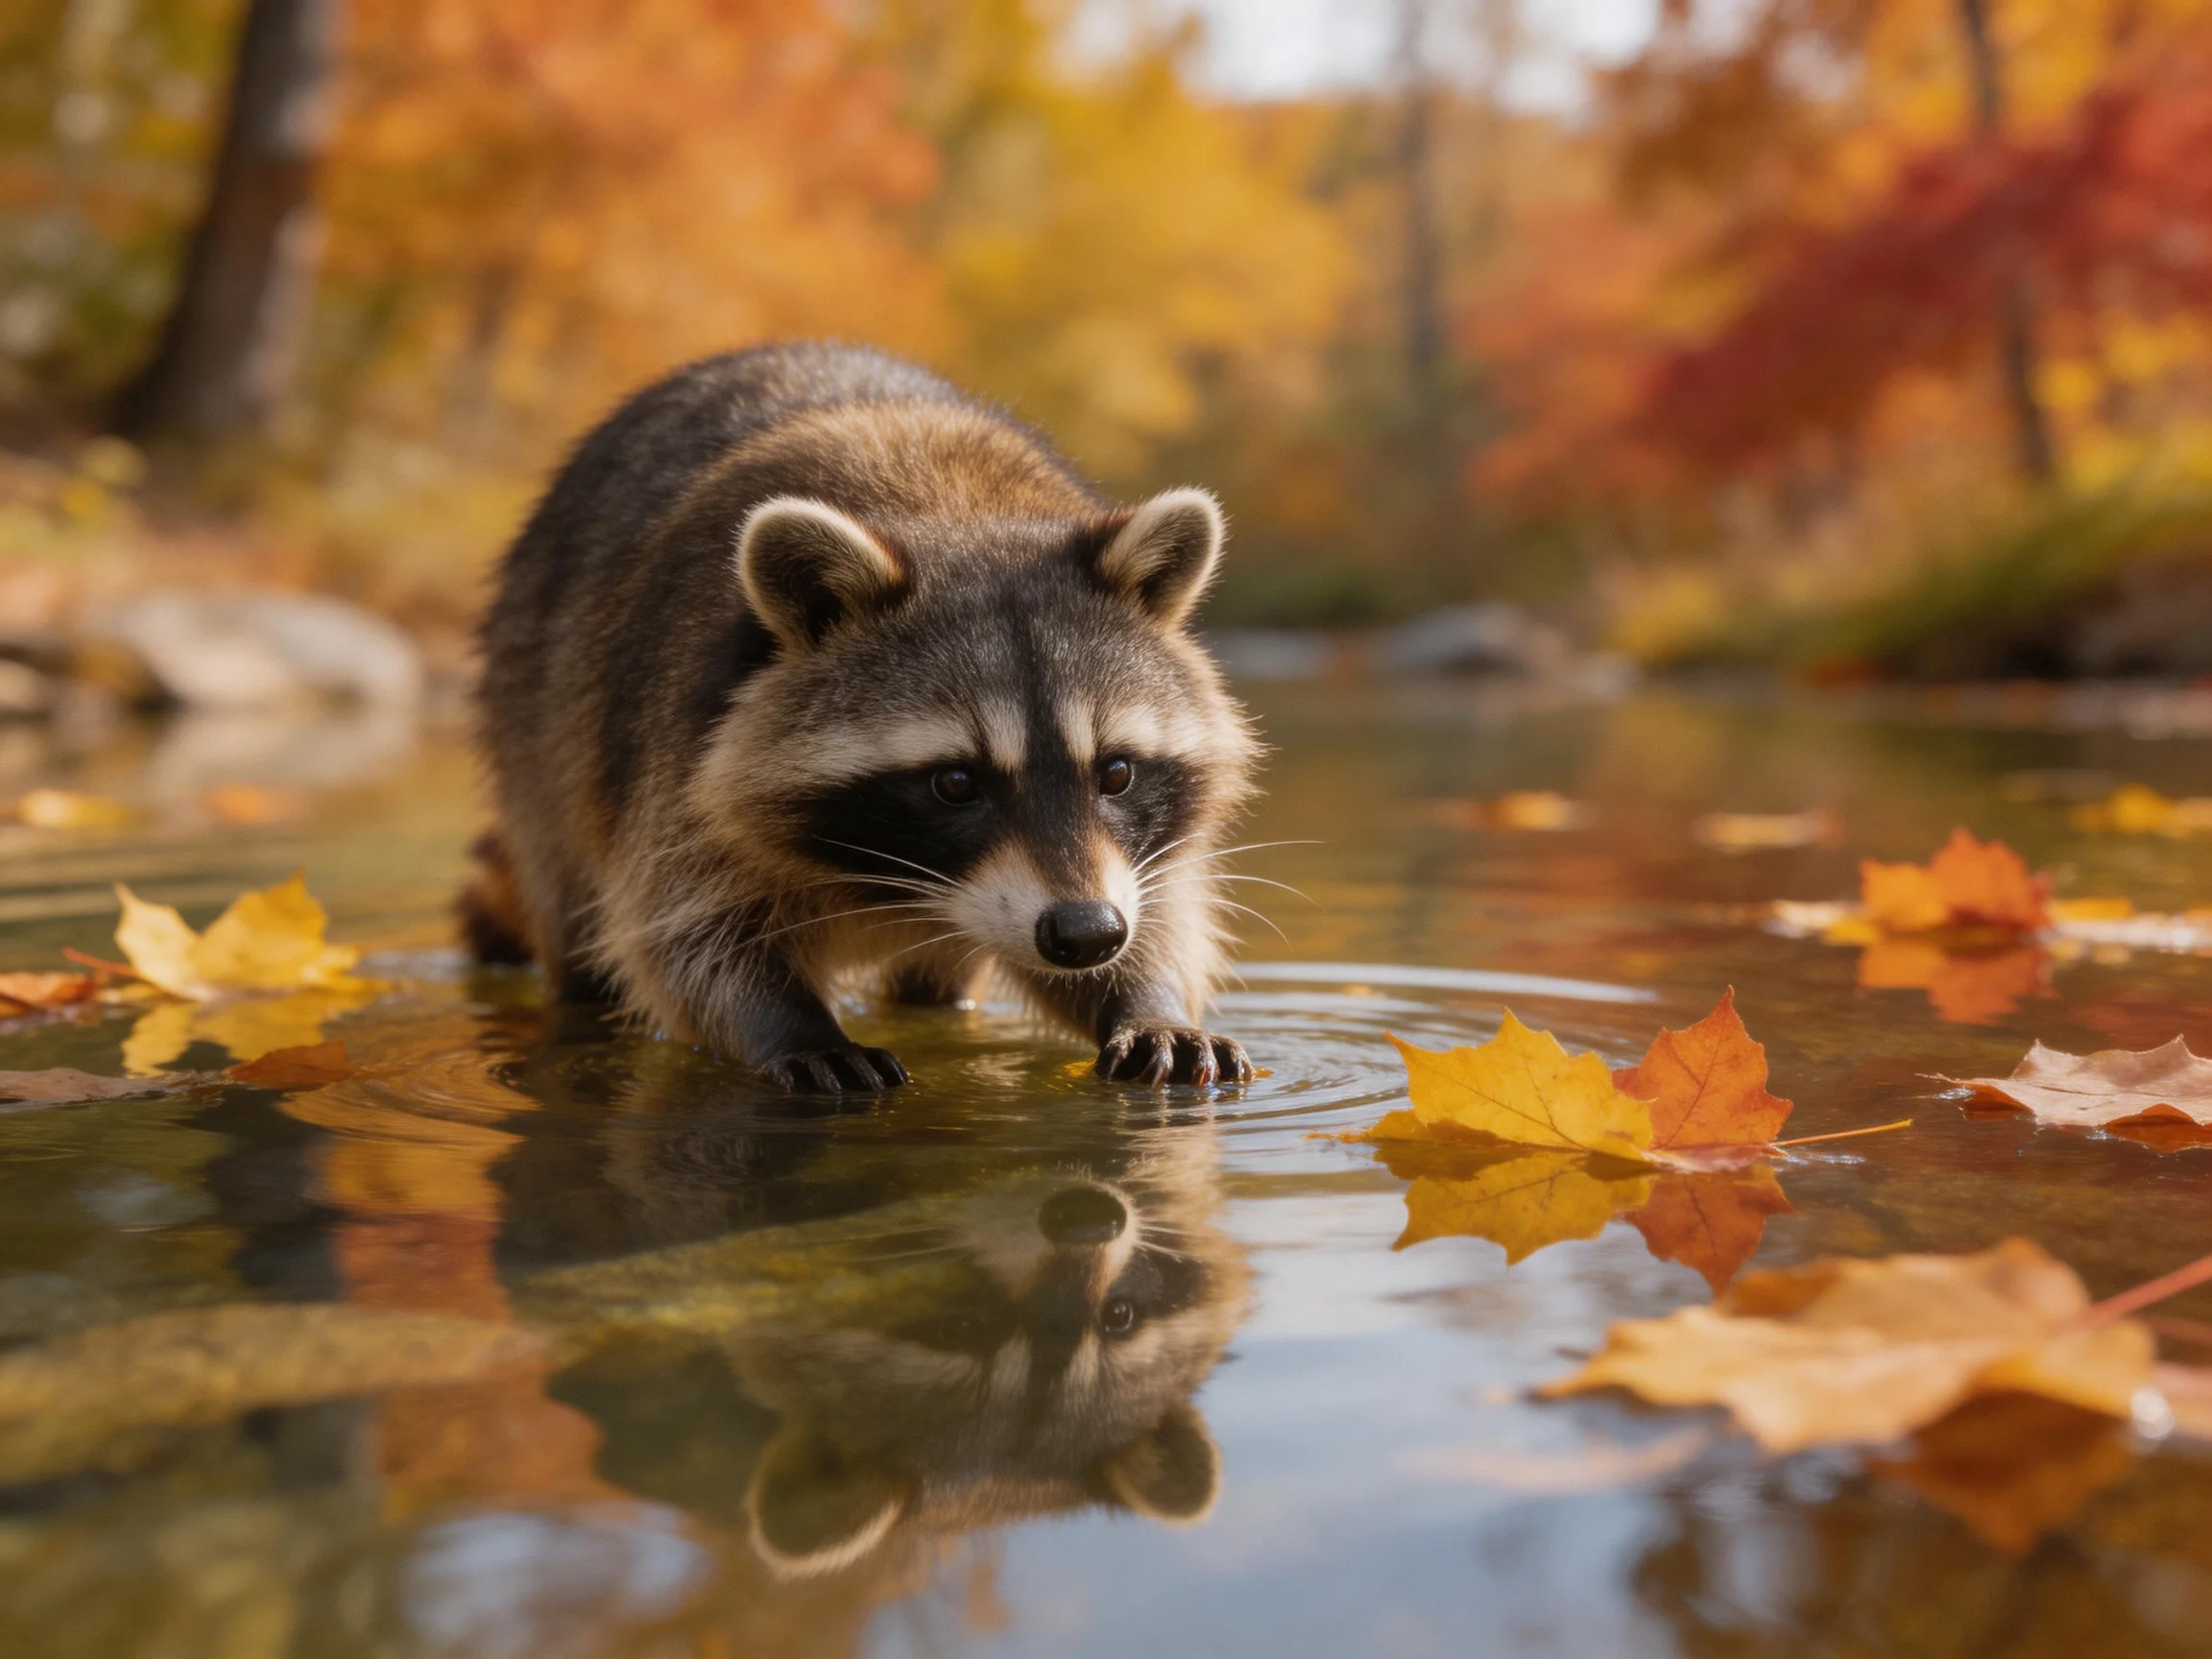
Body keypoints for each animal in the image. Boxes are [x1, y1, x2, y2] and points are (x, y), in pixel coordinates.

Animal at [472, 342, 1260, 1092]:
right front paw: (792, 1028)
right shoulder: (677, 750)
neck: (956, 511)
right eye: (955, 783)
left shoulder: (1130, 859)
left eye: (1118, 772)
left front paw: (1146, 998)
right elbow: (685, 934)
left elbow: (1158, 904)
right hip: (538, 728)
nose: (1087, 933)